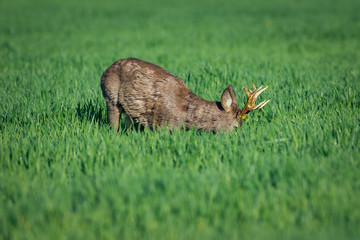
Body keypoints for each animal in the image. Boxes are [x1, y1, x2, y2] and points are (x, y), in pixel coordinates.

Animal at [100, 58, 268, 133]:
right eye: (235, 126)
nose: (240, 136)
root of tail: (105, 71)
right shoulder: (163, 124)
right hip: (110, 97)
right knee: (113, 123)